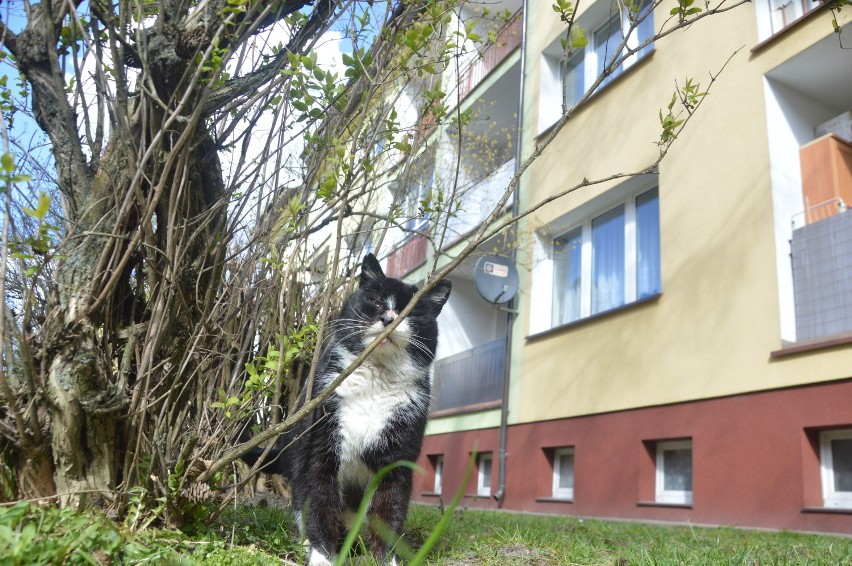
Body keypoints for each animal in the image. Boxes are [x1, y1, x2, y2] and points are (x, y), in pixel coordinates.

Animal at [241, 255, 450, 564]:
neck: (373, 383)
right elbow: (319, 502)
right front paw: (322, 556)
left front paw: (385, 558)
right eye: (374, 300)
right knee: (304, 503)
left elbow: (389, 511)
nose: (388, 318)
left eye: (410, 311)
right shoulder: (319, 449)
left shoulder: (398, 454)